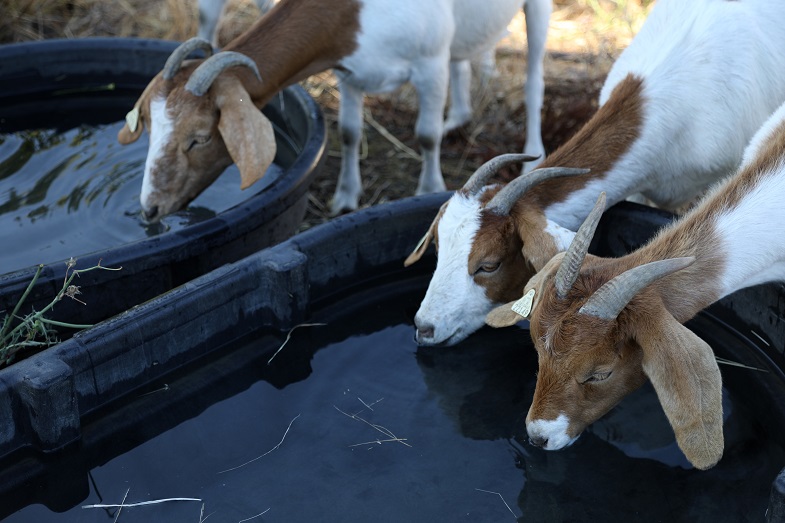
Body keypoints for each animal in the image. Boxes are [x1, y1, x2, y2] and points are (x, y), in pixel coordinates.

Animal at [118, 0, 552, 222]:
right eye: (151, 130)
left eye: (200, 138)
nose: (150, 208)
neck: (358, 11)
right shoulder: (350, 72)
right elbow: (348, 132)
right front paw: (345, 197)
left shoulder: (429, 63)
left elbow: (426, 136)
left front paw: (428, 190)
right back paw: (458, 117)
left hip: (537, 10)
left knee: (534, 80)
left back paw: (533, 156)